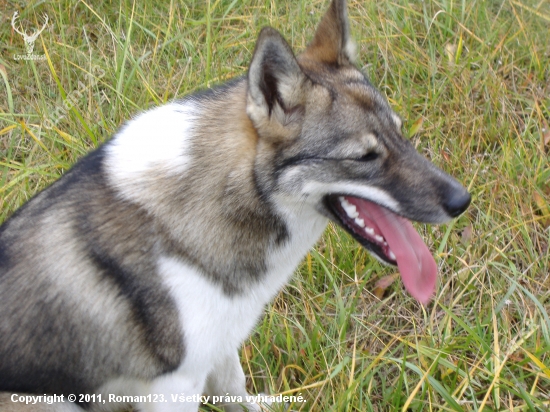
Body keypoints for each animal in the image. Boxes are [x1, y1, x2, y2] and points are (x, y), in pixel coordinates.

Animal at [0, 1, 474, 410]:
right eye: (364, 157)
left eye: (400, 133)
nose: (462, 201)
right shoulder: (175, 386)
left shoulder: (220, 346)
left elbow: (235, 390)